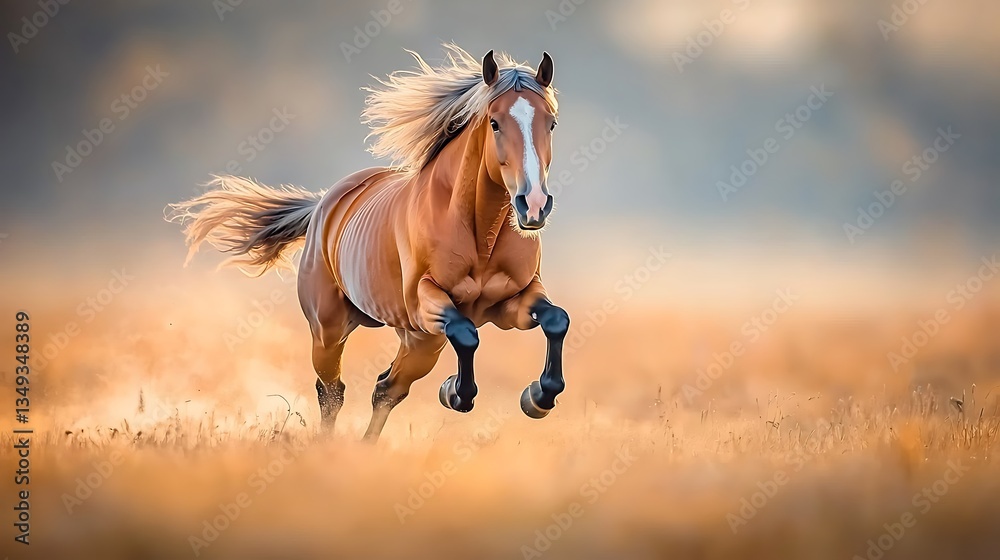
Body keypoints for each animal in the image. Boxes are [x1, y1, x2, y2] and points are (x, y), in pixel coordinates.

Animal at [168, 45, 569, 441]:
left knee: (387, 389)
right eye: (495, 123)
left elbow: (556, 319)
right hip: (333, 330)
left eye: (550, 123)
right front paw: (455, 392)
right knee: (333, 391)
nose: (533, 204)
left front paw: (538, 397)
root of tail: (323, 205)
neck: (479, 235)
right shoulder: (427, 302)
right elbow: (467, 334)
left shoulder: (513, 301)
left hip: (418, 340)